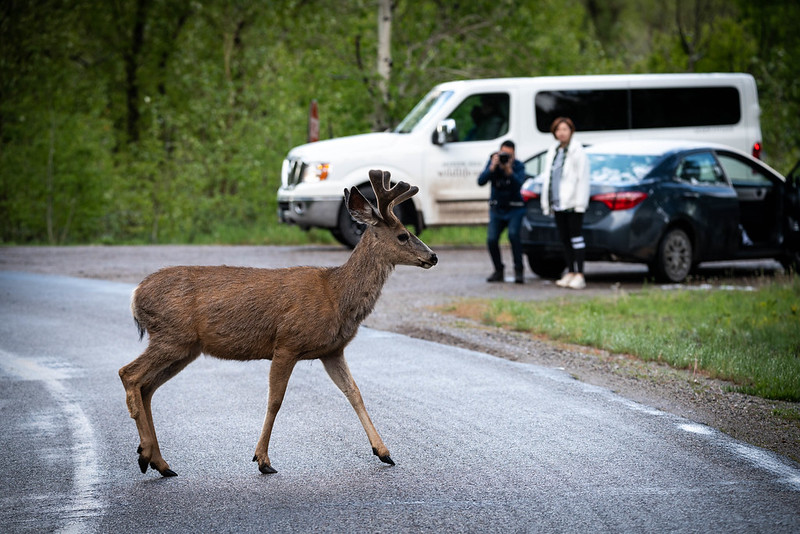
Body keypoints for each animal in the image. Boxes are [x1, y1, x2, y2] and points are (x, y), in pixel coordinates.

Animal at [120, 171, 438, 478]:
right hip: (172, 336)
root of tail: (135, 294)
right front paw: (262, 460)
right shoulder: (287, 343)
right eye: (403, 235)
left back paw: (161, 463)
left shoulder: (332, 351)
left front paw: (384, 452)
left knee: (147, 388)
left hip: (185, 348)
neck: (335, 295)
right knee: (129, 375)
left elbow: (355, 393)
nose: (433, 256)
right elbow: (275, 400)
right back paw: (145, 454)